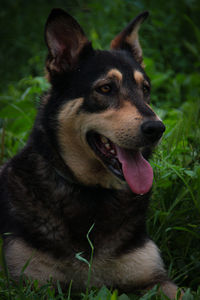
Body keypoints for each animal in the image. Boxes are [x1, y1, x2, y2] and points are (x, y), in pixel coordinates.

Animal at [0, 8, 181, 298]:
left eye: (146, 89)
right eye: (105, 88)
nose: (157, 129)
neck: (93, 193)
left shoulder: (154, 278)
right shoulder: (29, 283)